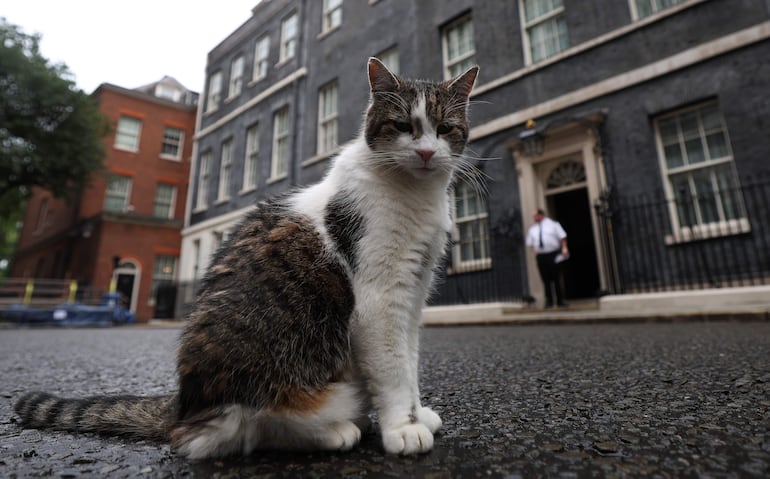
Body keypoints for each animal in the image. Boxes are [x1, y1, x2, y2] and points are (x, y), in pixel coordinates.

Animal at [13, 57, 474, 462]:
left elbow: (409, 361)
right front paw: (402, 428)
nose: (427, 153)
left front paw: (418, 414)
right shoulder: (380, 299)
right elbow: (393, 369)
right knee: (228, 433)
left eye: (444, 129)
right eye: (403, 126)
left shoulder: (411, 294)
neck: (414, 194)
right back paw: (337, 431)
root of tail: (184, 405)